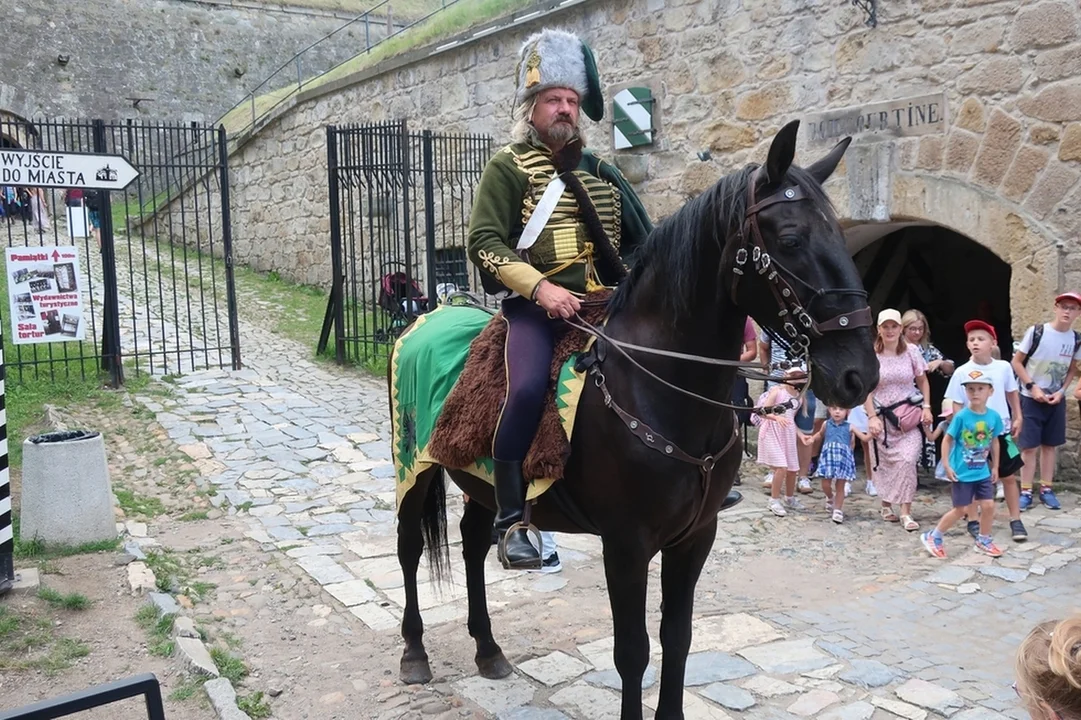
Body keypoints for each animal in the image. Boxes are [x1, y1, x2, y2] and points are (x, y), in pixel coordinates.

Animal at [393, 120, 882, 713]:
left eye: (839, 234)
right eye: (790, 240)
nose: (860, 374)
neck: (662, 386)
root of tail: (430, 315)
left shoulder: (695, 537)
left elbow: (679, 637)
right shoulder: (626, 544)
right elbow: (633, 651)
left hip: (477, 479)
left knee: (470, 542)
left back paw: (488, 648)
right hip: (413, 468)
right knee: (411, 549)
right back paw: (414, 652)